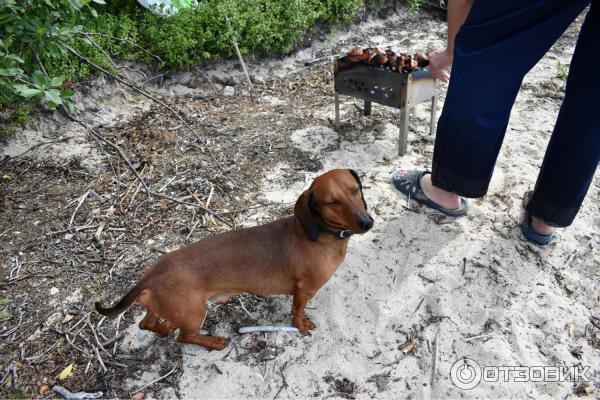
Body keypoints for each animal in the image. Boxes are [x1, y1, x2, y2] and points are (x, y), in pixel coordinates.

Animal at [95, 169, 372, 350]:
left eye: (355, 190)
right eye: (332, 202)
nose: (367, 223)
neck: (319, 233)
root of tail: (149, 277)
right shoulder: (304, 290)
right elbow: (297, 311)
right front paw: (300, 326)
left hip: (165, 307)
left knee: (146, 324)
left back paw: (164, 329)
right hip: (195, 313)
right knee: (183, 337)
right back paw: (214, 342)